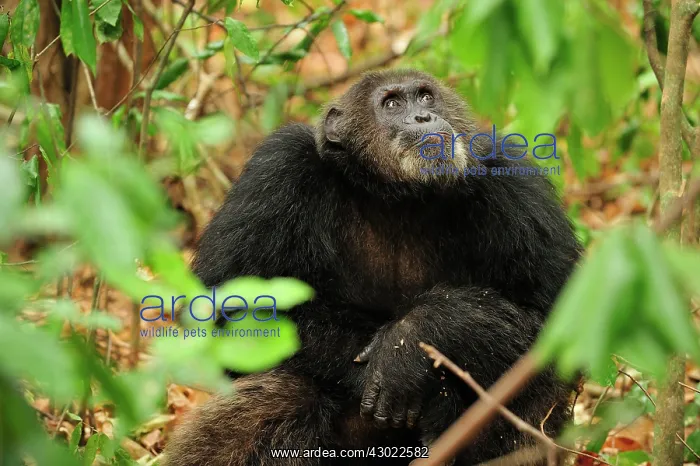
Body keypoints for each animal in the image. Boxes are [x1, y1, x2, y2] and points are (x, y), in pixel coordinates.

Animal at [162, 69, 582, 466]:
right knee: (282, 395)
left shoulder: (513, 188)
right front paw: (410, 374)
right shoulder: (278, 171)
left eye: (425, 96)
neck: (396, 195)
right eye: (392, 103)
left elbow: (551, 318)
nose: (423, 115)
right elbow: (231, 306)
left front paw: (412, 342)